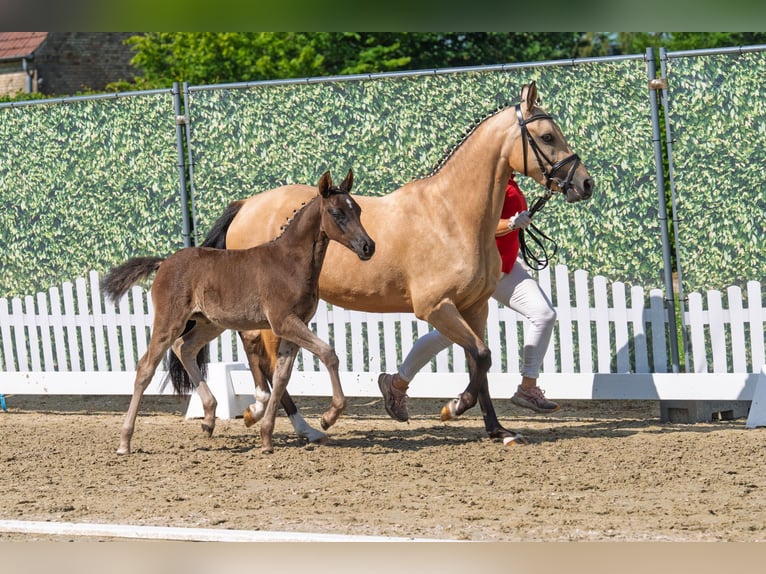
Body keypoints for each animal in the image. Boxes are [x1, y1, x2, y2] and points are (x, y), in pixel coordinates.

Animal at [101, 170, 375, 454]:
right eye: (337, 213)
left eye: (358, 210)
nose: (368, 246)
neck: (290, 262)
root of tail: (163, 262)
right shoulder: (283, 322)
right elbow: (328, 353)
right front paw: (328, 416)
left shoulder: (295, 325)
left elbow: (282, 376)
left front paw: (266, 437)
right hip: (170, 321)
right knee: (146, 367)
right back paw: (124, 441)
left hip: (210, 323)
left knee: (184, 347)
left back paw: (209, 418)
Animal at [193, 81, 594, 445]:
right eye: (547, 136)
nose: (585, 183)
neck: (453, 215)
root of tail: (246, 204)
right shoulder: (435, 307)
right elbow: (480, 356)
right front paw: (454, 407)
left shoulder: (474, 307)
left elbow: (479, 361)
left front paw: (498, 430)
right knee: (265, 356)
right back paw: (289, 420)